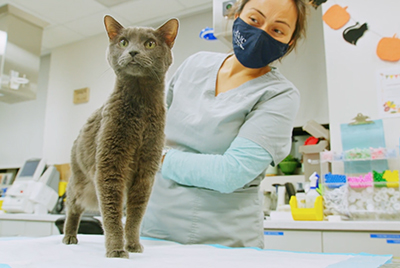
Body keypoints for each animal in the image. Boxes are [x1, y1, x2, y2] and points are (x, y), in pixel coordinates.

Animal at [62, 14, 178, 258]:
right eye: (123, 42)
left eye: (150, 44)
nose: (133, 52)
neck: (141, 106)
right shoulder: (110, 164)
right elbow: (112, 213)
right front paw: (116, 250)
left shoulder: (146, 172)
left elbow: (134, 216)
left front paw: (132, 245)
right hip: (80, 181)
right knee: (73, 206)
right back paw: (69, 237)